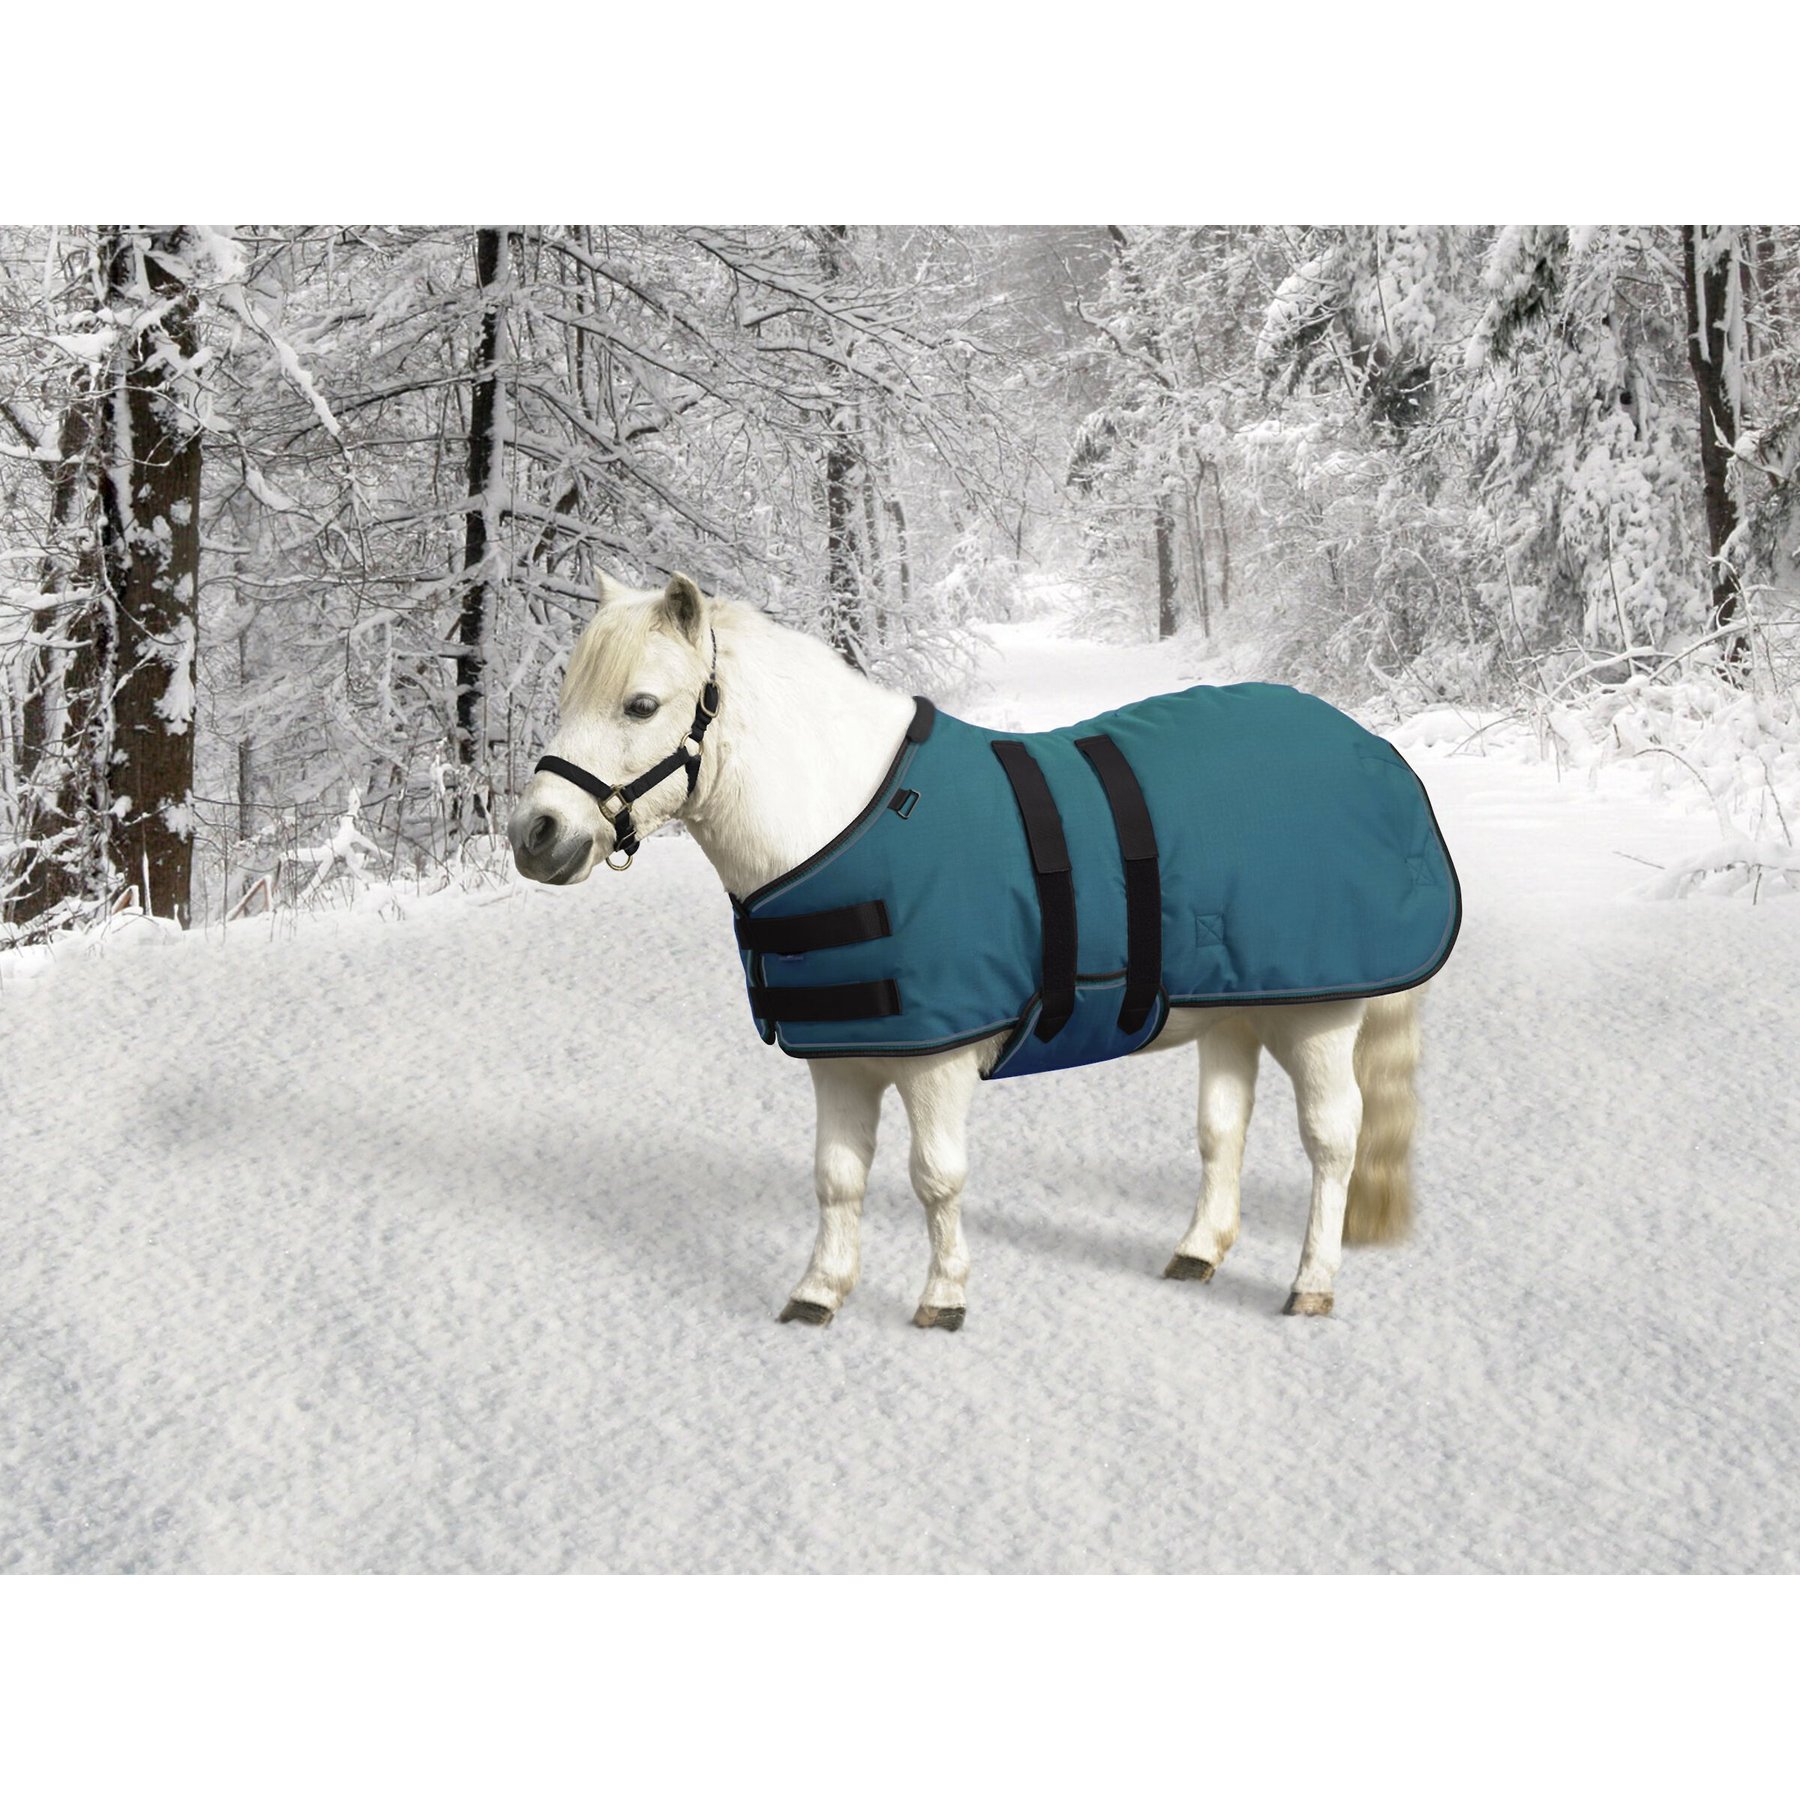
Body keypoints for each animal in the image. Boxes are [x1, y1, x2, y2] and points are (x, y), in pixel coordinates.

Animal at [508, 571, 1426, 1327]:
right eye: (566, 692)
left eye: (641, 704)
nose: (535, 835)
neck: (842, 820)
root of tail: (1369, 747)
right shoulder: (843, 1058)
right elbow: (836, 1177)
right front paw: (818, 1293)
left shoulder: (935, 1063)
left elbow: (935, 1177)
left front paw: (943, 1297)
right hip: (1237, 1007)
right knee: (1221, 1129)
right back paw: (1198, 1252)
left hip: (1317, 1016)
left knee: (1332, 1142)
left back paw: (1312, 1285)